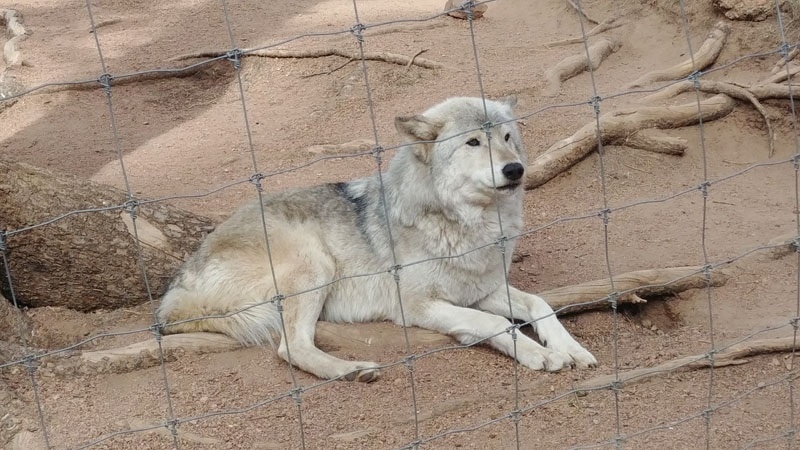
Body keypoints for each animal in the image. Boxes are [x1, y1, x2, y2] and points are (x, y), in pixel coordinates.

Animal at [157, 97, 597, 382]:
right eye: (473, 142)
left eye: (507, 137)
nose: (515, 169)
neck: (468, 225)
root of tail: (176, 289)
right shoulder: (417, 305)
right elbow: (494, 323)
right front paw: (540, 354)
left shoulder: (480, 290)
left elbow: (539, 305)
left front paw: (570, 348)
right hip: (315, 263)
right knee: (290, 347)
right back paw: (351, 370)